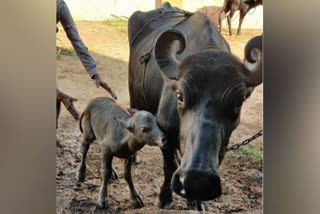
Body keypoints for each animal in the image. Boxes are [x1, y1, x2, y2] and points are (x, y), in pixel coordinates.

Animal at [127, 2, 262, 211]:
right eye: (179, 96)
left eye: (238, 103)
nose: (197, 181)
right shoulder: (164, 131)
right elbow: (169, 167)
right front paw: (164, 198)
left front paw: (195, 203)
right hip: (134, 97)